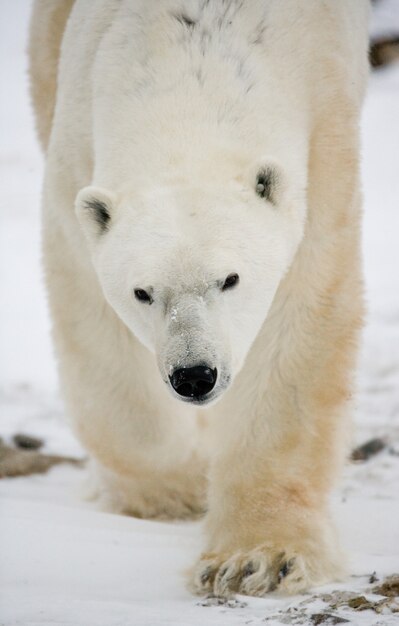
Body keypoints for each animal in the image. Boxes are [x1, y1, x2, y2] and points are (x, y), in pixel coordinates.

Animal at [29, 0, 370, 596]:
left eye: (230, 279)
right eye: (142, 292)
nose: (194, 375)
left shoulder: (325, 137)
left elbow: (297, 333)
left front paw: (259, 558)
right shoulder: (73, 155)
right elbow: (91, 318)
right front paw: (176, 492)